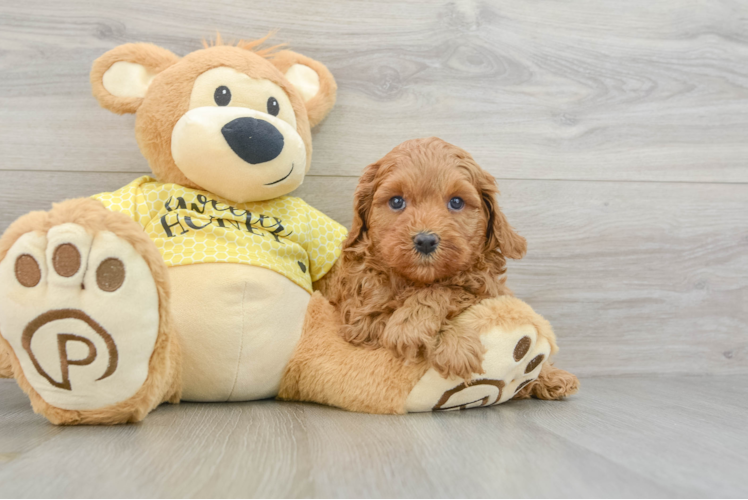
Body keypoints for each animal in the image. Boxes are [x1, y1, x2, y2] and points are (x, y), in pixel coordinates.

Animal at [324, 137, 528, 378]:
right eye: (396, 202)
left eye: (456, 202)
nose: (425, 241)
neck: (416, 281)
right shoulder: (360, 318)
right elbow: (383, 317)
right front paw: (454, 344)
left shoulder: (489, 289)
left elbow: (447, 289)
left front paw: (416, 327)